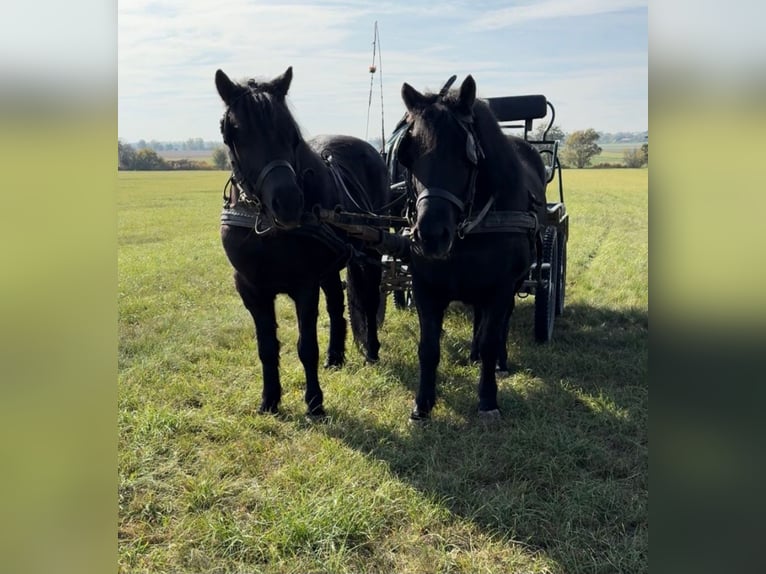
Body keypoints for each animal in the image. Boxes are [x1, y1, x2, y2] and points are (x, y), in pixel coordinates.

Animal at [215, 67, 390, 417]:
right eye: (235, 133)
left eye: (291, 133)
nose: (288, 202)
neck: (265, 226)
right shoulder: (251, 289)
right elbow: (267, 347)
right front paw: (269, 400)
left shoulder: (304, 285)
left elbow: (306, 345)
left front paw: (315, 403)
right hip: (331, 265)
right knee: (337, 304)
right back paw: (335, 356)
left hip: (370, 252)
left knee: (367, 299)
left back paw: (371, 350)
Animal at [396, 74, 547, 420]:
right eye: (408, 155)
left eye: (467, 156)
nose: (431, 235)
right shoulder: (424, 287)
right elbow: (428, 347)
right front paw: (422, 405)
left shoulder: (501, 286)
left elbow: (492, 337)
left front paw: (488, 401)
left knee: (501, 324)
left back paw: (499, 361)